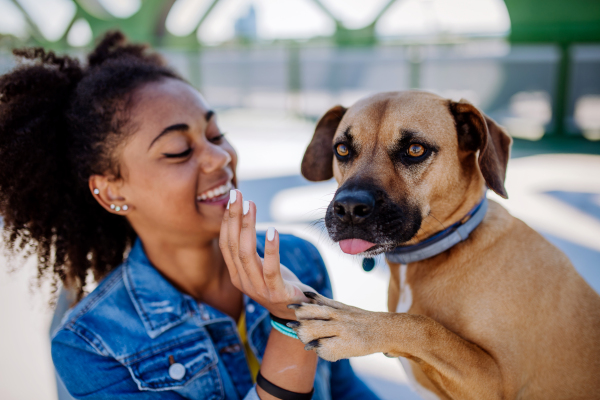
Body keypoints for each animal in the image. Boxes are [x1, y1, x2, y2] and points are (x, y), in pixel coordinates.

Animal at [290, 91, 600, 400]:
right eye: (342, 149)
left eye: (415, 149)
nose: (349, 208)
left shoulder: (497, 381)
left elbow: (426, 327)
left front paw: (351, 324)